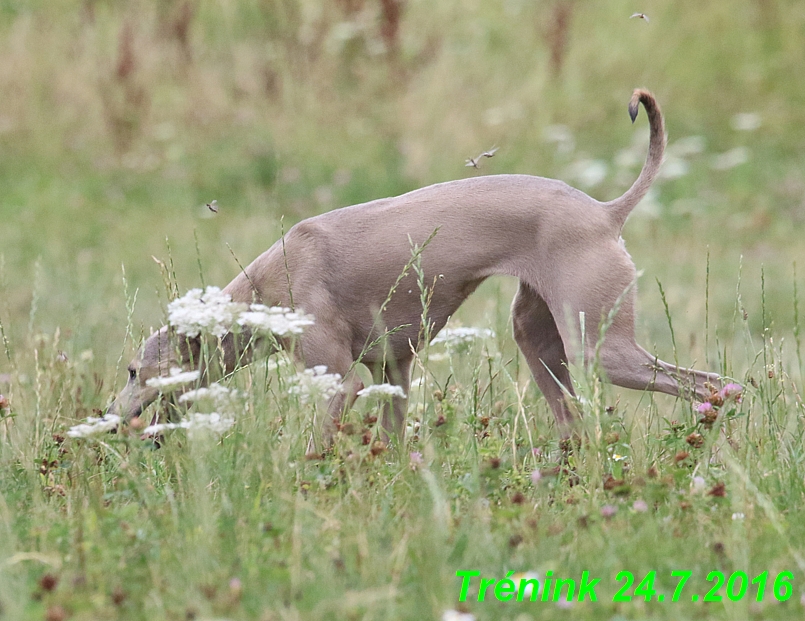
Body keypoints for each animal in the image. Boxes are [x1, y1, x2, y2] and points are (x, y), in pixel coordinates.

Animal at [108, 91, 724, 440]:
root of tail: (604, 211)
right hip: (538, 338)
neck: (266, 284)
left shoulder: (339, 383)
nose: (109, 416)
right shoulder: (393, 372)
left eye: (134, 371)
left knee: (715, 384)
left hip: (600, 348)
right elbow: (396, 439)